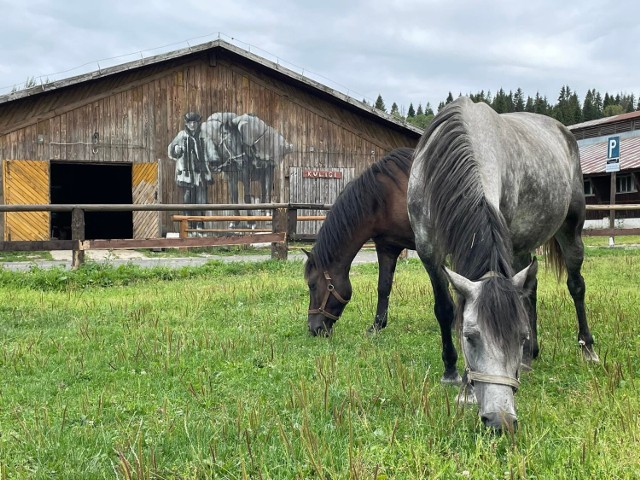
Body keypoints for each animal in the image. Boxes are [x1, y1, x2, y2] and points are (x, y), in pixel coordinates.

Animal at [304, 146, 416, 334]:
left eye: (312, 285)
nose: (313, 328)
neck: (389, 196)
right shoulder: (387, 247)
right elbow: (383, 286)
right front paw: (377, 326)